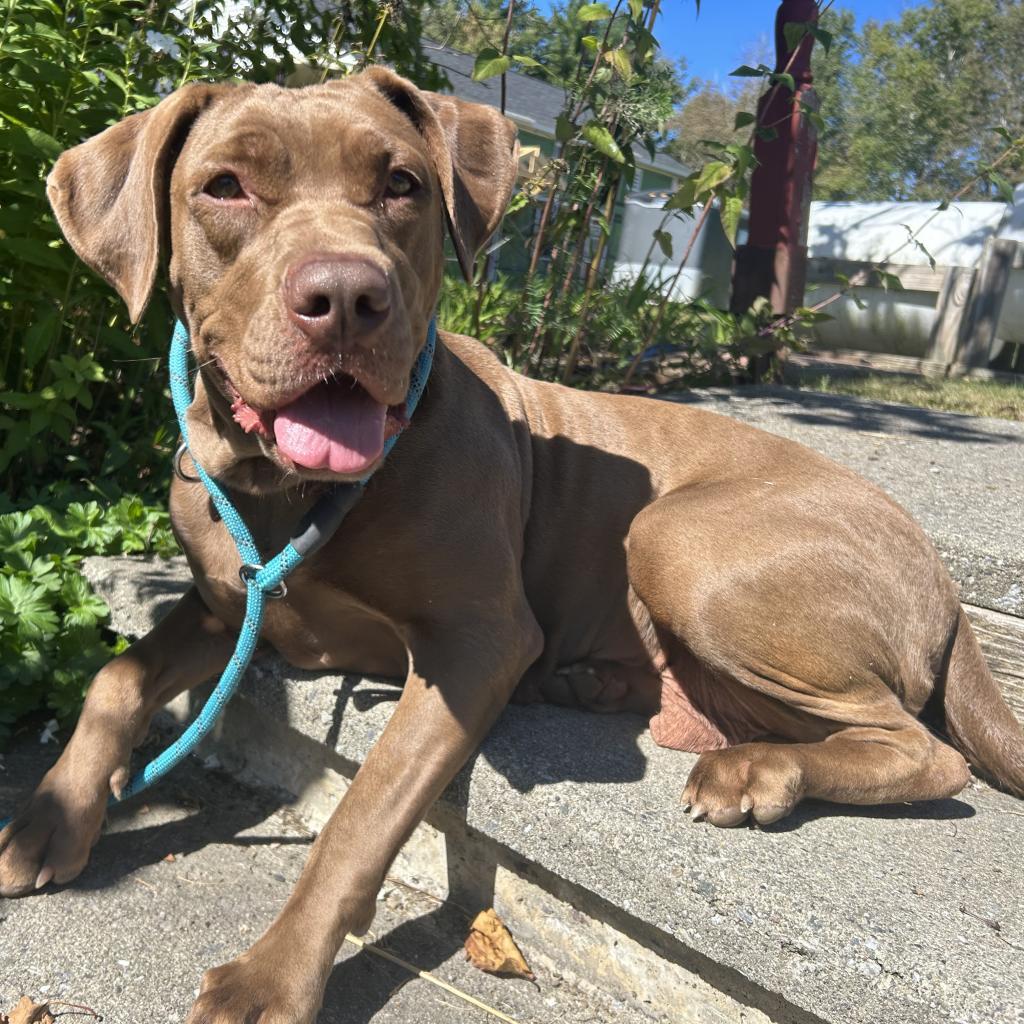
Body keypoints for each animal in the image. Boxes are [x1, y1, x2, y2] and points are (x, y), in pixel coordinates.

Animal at [2, 68, 1024, 1019]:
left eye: (403, 184)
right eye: (224, 186)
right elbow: (115, 676)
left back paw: (759, 768)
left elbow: (361, 814)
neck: (286, 492)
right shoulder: (227, 604)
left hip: (676, 536)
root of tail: (937, 567)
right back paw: (600, 684)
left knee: (925, 750)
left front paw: (272, 975)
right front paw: (50, 819)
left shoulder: (473, 645)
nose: (347, 295)